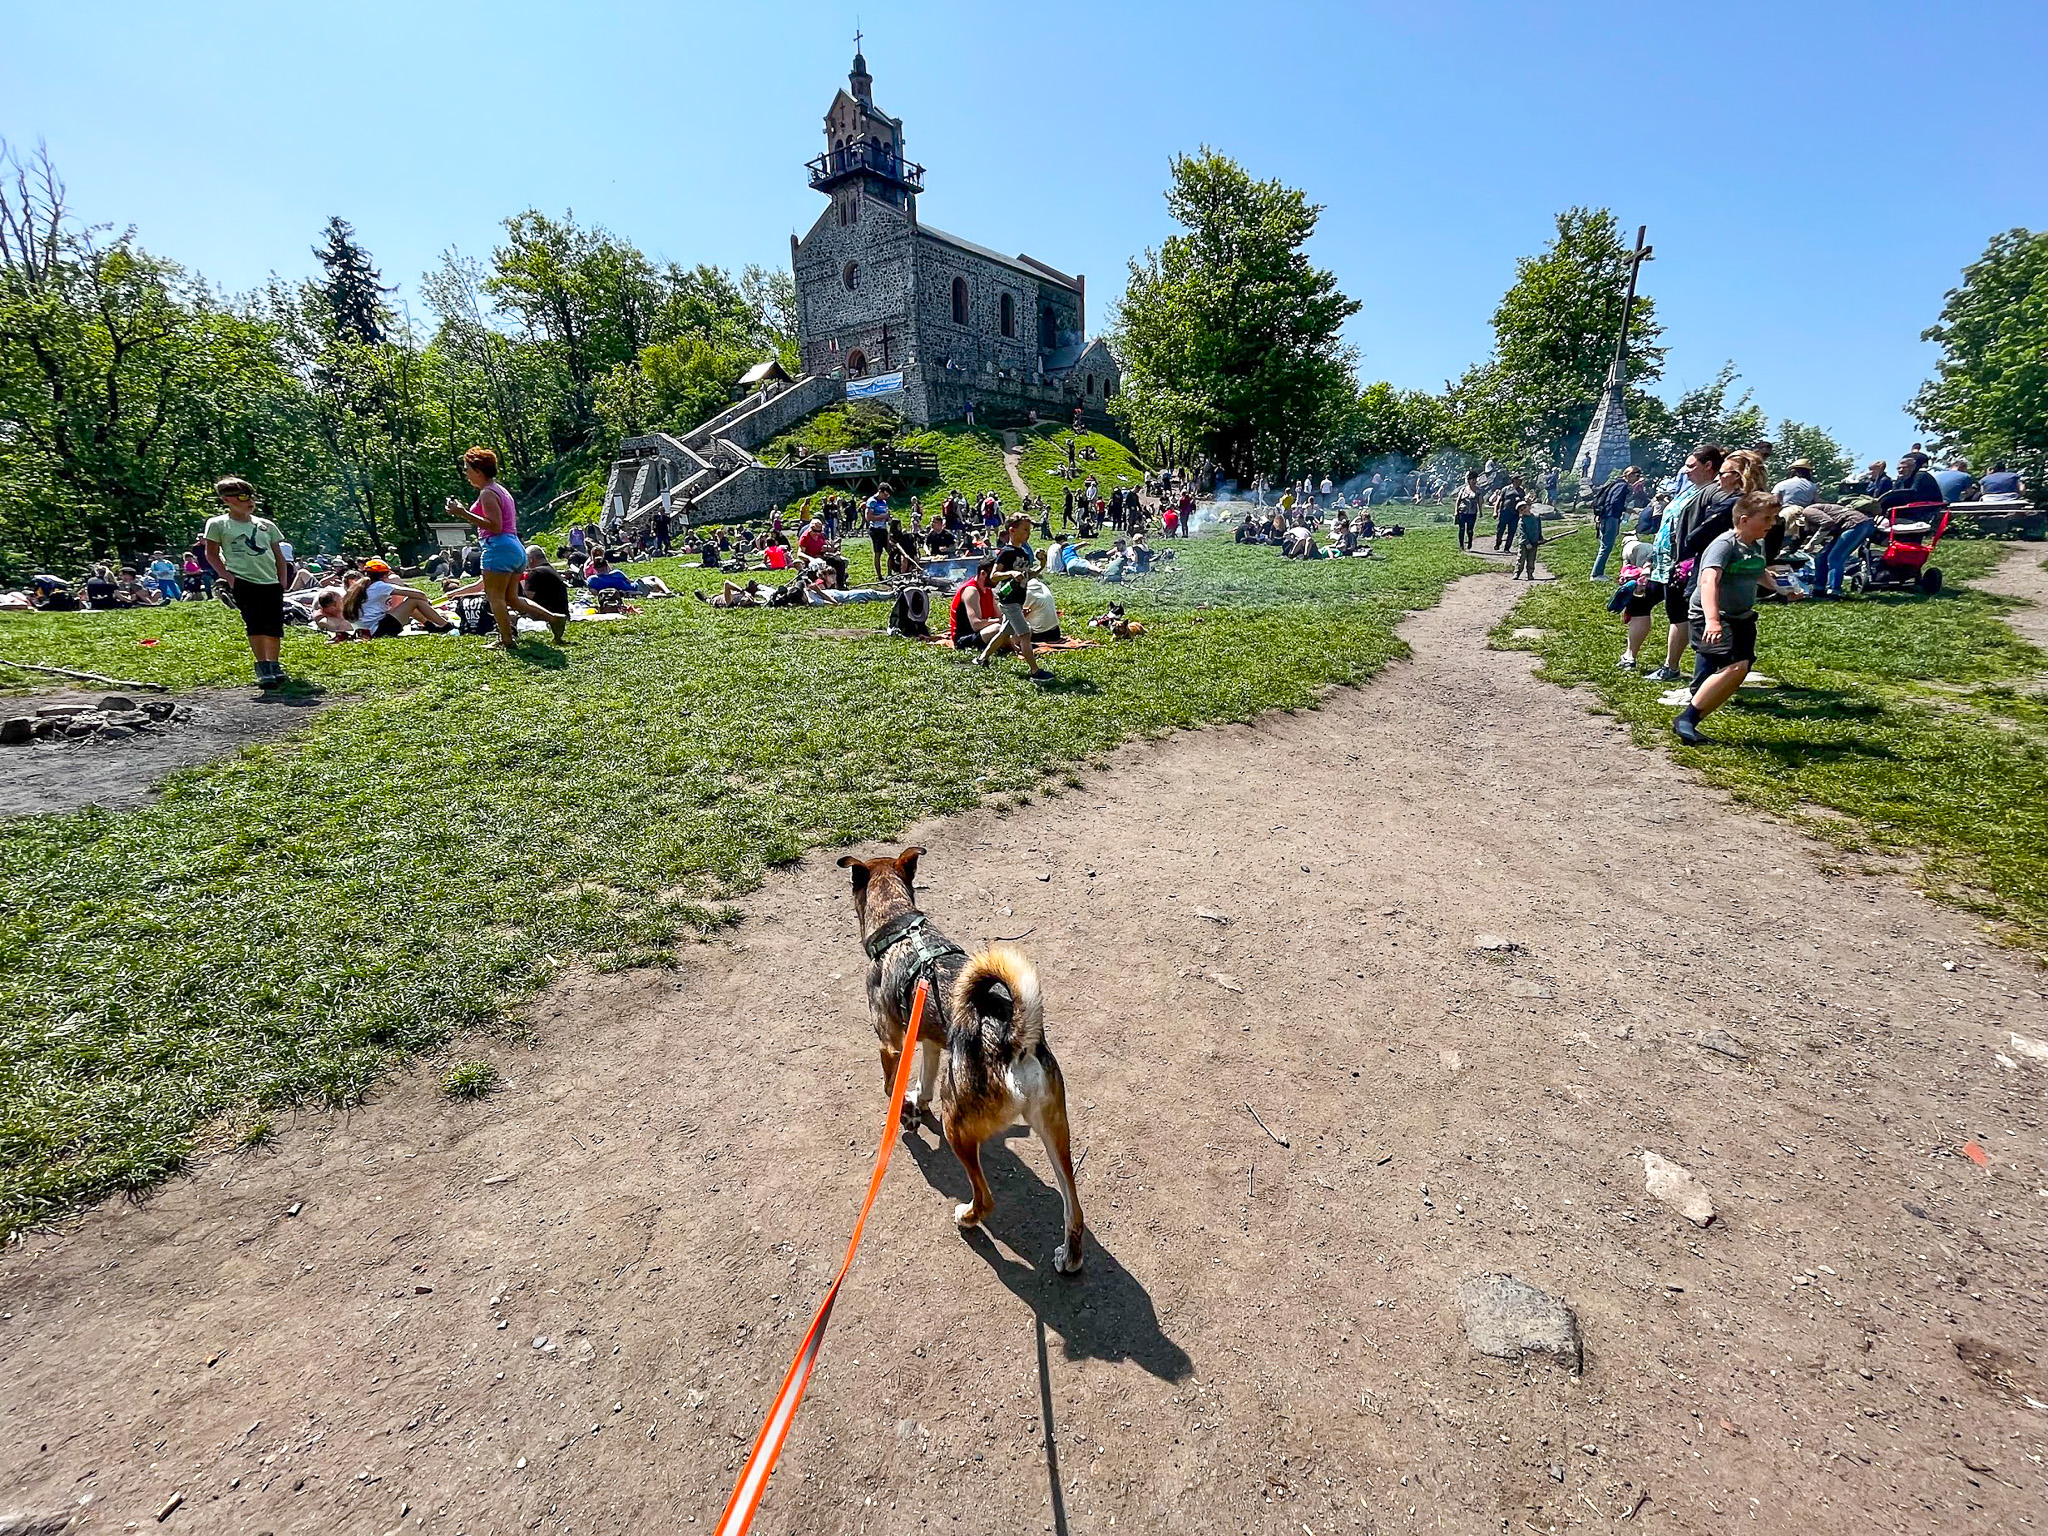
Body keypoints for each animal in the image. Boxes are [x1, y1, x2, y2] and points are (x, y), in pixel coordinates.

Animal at [835, 847, 1089, 1277]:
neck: (899, 926)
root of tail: (1012, 1040)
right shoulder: (930, 1043)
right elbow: (924, 1081)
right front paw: (916, 1105)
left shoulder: (891, 1044)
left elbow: (891, 1086)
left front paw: (904, 1114)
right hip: (1056, 1132)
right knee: (1074, 1208)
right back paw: (1069, 1257)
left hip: (958, 1125)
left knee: (986, 1199)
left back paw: (968, 1217)